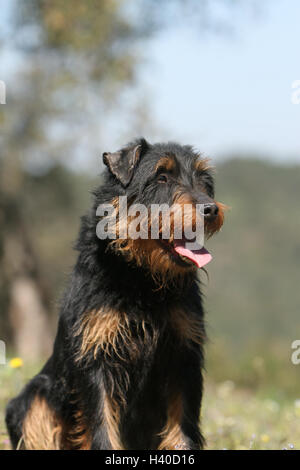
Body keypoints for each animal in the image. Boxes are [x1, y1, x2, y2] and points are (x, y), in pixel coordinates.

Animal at [5, 138, 225, 450]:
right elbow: (101, 424)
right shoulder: (97, 356)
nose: (211, 209)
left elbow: (183, 425)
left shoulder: (184, 354)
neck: (143, 279)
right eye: (161, 177)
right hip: (33, 398)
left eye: (204, 180)